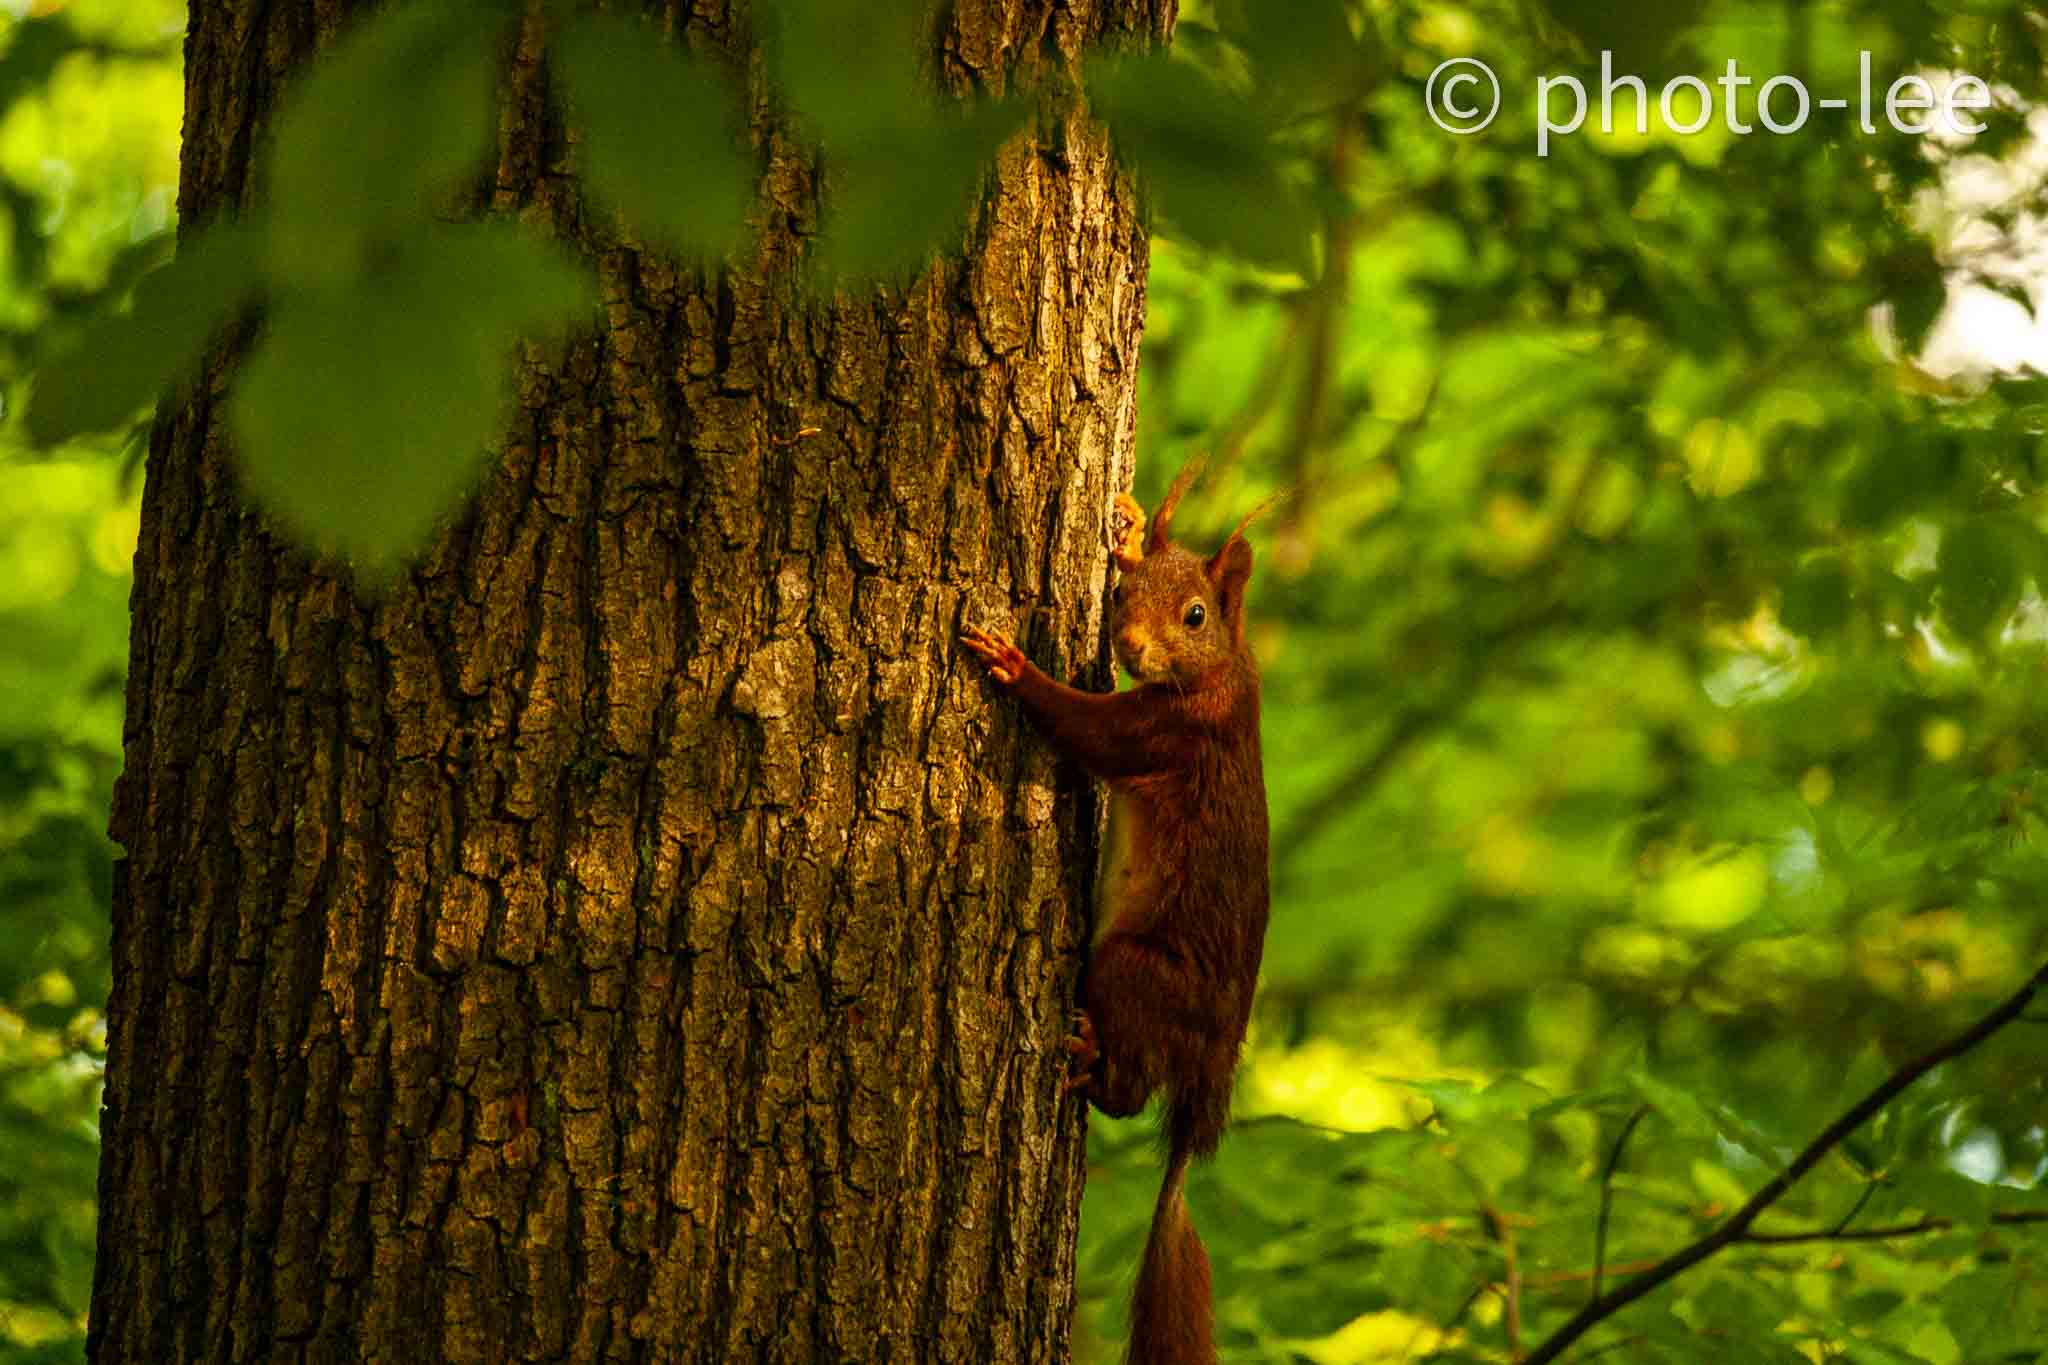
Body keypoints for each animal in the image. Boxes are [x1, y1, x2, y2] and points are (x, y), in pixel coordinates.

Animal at [962, 460, 1271, 1365]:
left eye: (1196, 615)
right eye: (1122, 593)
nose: (1130, 647)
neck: (1221, 670)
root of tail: (1208, 1082)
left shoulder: (1169, 731)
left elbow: (1085, 728)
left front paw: (1014, 665)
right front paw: (1129, 525)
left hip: (1133, 969)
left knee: (1132, 1091)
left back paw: (1091, 1060)